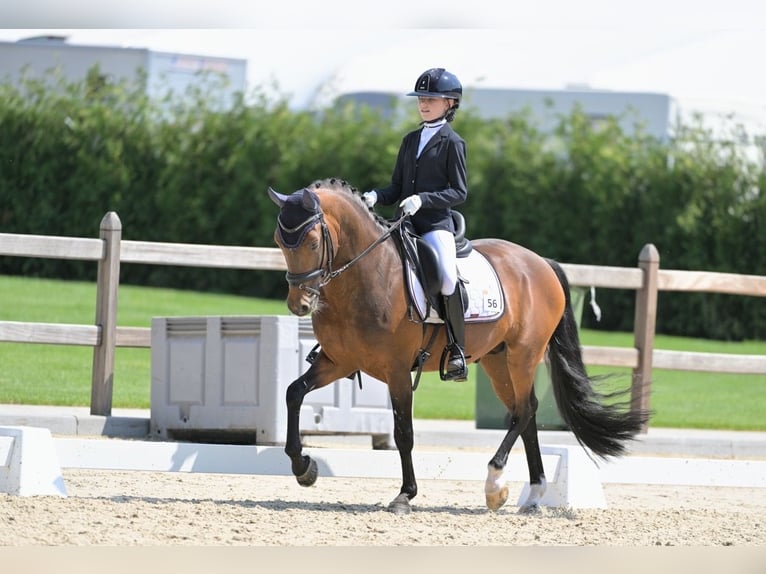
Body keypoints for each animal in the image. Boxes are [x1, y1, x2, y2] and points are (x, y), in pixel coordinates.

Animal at [268, 178, 652, 516]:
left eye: (313, 243)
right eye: (279, 242)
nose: (299, 305)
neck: (366, 275)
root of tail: (542, 262)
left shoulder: (396, 370)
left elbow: (403, 432)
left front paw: (405, 495)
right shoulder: (340, 361)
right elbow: (293, 393)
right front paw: (303, 467)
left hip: (524, 354)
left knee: (525, 410)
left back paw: (495, 483)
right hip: (498, 362)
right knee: (524, 413)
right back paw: (532, 494)